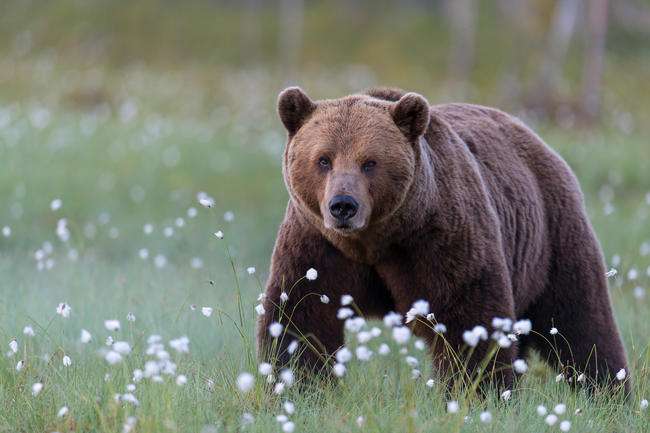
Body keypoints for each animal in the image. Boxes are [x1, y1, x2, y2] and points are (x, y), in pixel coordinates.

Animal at [256, 86, 628, 390]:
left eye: (370, 162)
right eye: (323, 159)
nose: (343, 206)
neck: (373, 241)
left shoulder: (438, 239)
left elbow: (469, 317)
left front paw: (477, 391)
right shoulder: (318, 246)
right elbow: (301, 316)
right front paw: (299, 385)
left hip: (551, 239)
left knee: (580, 322)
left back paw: (608, 389)